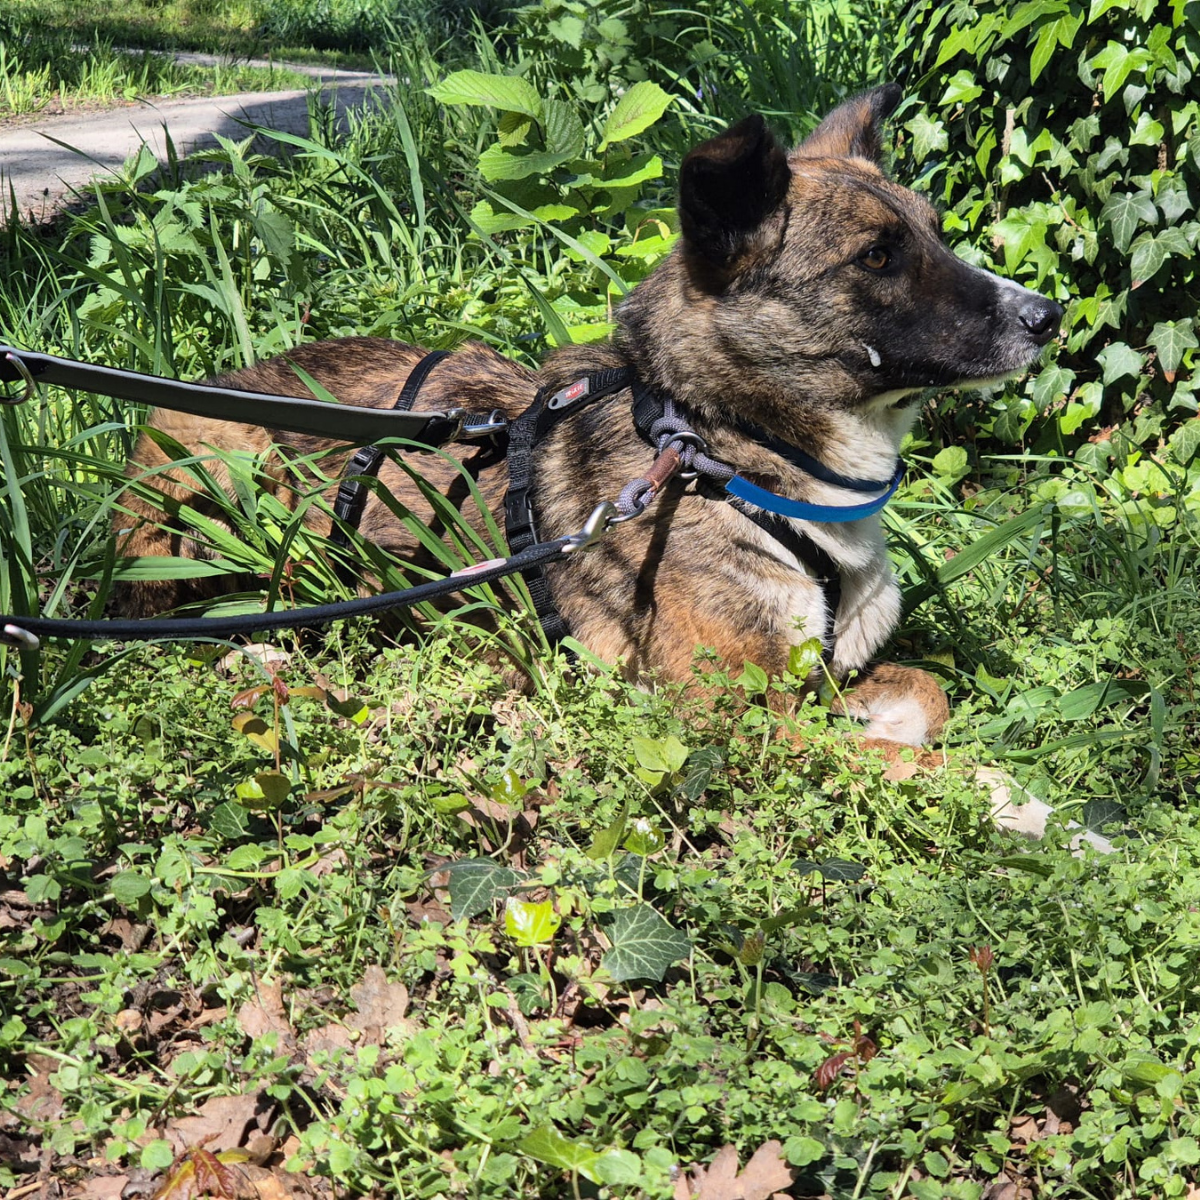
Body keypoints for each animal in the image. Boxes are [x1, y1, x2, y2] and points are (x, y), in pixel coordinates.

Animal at [114, 84, 1062, 746]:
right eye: (876, 257)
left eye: (935, 234)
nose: (1048, 315)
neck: (718, 448)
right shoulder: (739, 719)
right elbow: (891, 762)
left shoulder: (821, 676)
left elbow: (930, 695)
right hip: (210, 489)